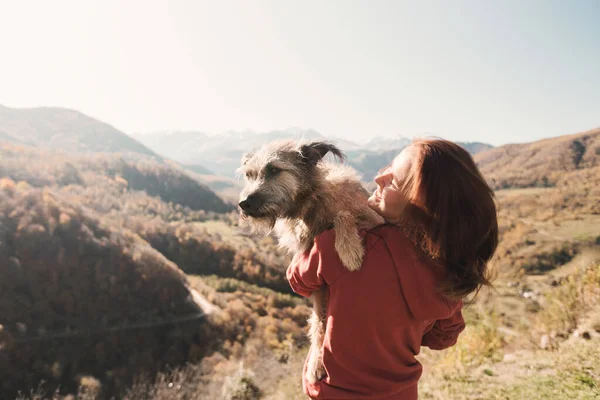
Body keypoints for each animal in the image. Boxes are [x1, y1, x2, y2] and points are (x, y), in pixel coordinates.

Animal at [237, 140, 382, 382]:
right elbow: (318, 323)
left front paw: (349, 250)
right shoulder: (318, 286)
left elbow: (343, 215)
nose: (243, 203)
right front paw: (316, 361)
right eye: (249, 174)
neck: (311, 202)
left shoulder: (374, 219)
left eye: (274, 170)